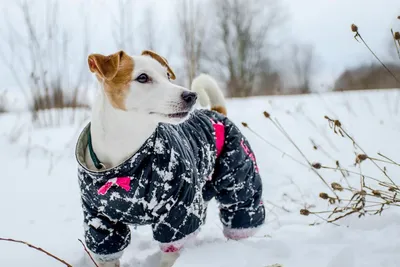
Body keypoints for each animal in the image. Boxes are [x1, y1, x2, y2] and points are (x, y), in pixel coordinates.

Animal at [75, 50, 266, 267]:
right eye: (142, 77)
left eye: (167, 75)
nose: (191, 96)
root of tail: (216, 112)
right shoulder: (100, 221)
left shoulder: (177, 212)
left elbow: (171, 251)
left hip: (238, 179)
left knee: (240, 208)